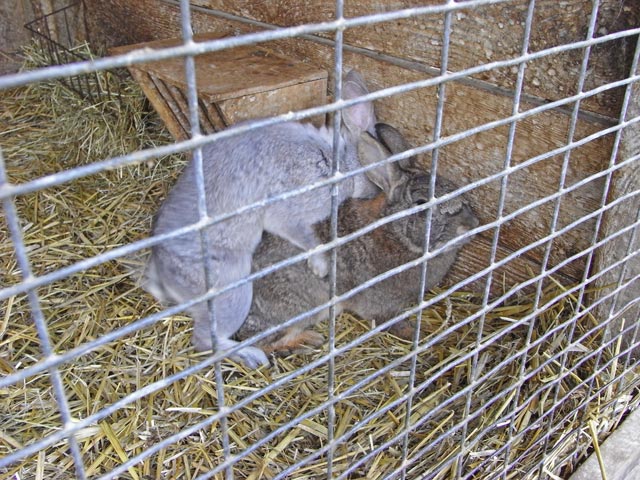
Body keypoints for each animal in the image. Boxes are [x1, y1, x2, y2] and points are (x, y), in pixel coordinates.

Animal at [143, 70, 382, 368]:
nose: (380, 193)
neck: (337, 159)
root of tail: (165, 280)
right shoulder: (291, 211)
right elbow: (307, 237)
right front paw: (320, 266)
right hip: (234, 290)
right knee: (206, 340)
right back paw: (254, 355)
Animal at [235, 123, 480, 358]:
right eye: (421, 203)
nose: (471, 224)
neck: (394, 233)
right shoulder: (381, 304)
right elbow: (391, 322)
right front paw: (414, 333)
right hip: (295, 308)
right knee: (260, 342)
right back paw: (306, 341)